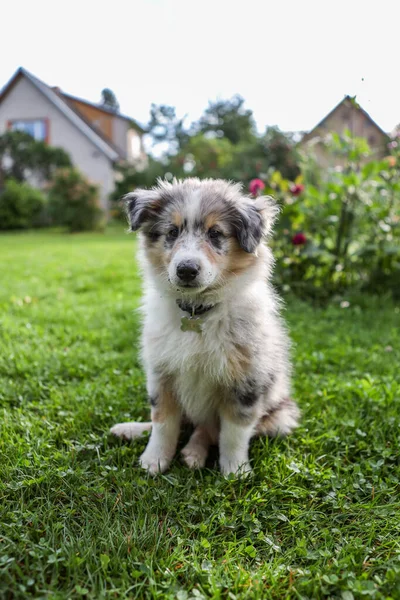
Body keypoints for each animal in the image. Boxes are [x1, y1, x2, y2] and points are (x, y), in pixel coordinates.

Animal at [111, 176, 298, 476]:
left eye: (215, 234)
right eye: (172, 232)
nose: (186, 270)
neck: (197, 311)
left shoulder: (246, 381)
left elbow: (233, 432)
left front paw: (236, 470)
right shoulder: (161, 372)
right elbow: (162, 421)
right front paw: (154, 459)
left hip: (281, 417)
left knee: (208, 429)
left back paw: (193, 453)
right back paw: (131, 430)